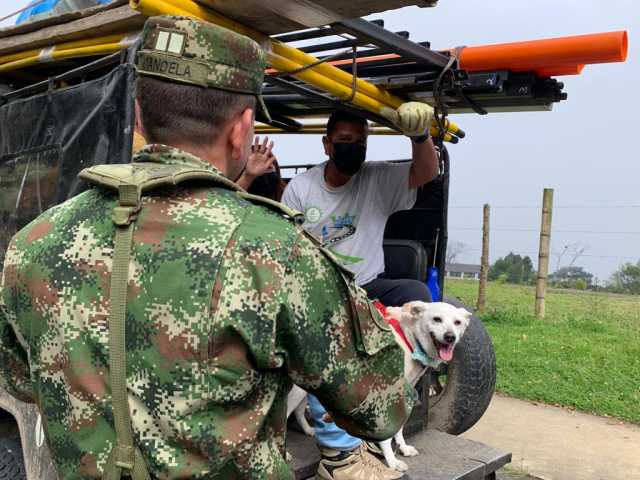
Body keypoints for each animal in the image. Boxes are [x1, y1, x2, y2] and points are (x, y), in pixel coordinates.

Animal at [288, 302, 472, 470]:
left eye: (457, 322)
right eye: (436, 319)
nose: (450, 337)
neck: (408, 337)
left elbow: (398, 428)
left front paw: (403, 448)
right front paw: (392, 461)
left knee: (298, 411)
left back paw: (308, 430)